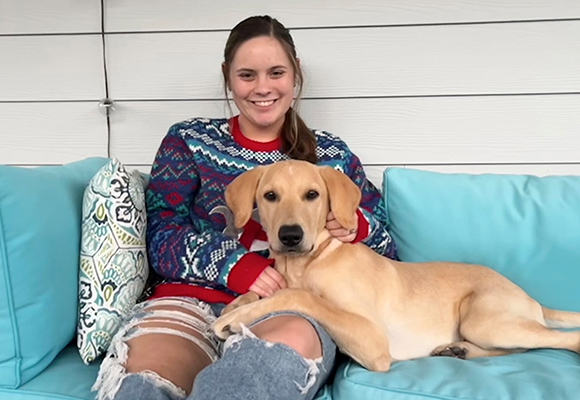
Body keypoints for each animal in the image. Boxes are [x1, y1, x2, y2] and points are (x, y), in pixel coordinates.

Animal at [215, 160, 580, 372]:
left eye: (312, 195)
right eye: (270, 196)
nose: (290, 236)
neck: (309, 262)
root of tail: (531, 298)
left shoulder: (372, 339)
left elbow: (299, 296)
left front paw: (235, 317)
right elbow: (264, 293)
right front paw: (239, 303)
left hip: (484, 320)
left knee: (560, 340)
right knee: (521, 348)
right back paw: (458, 350)